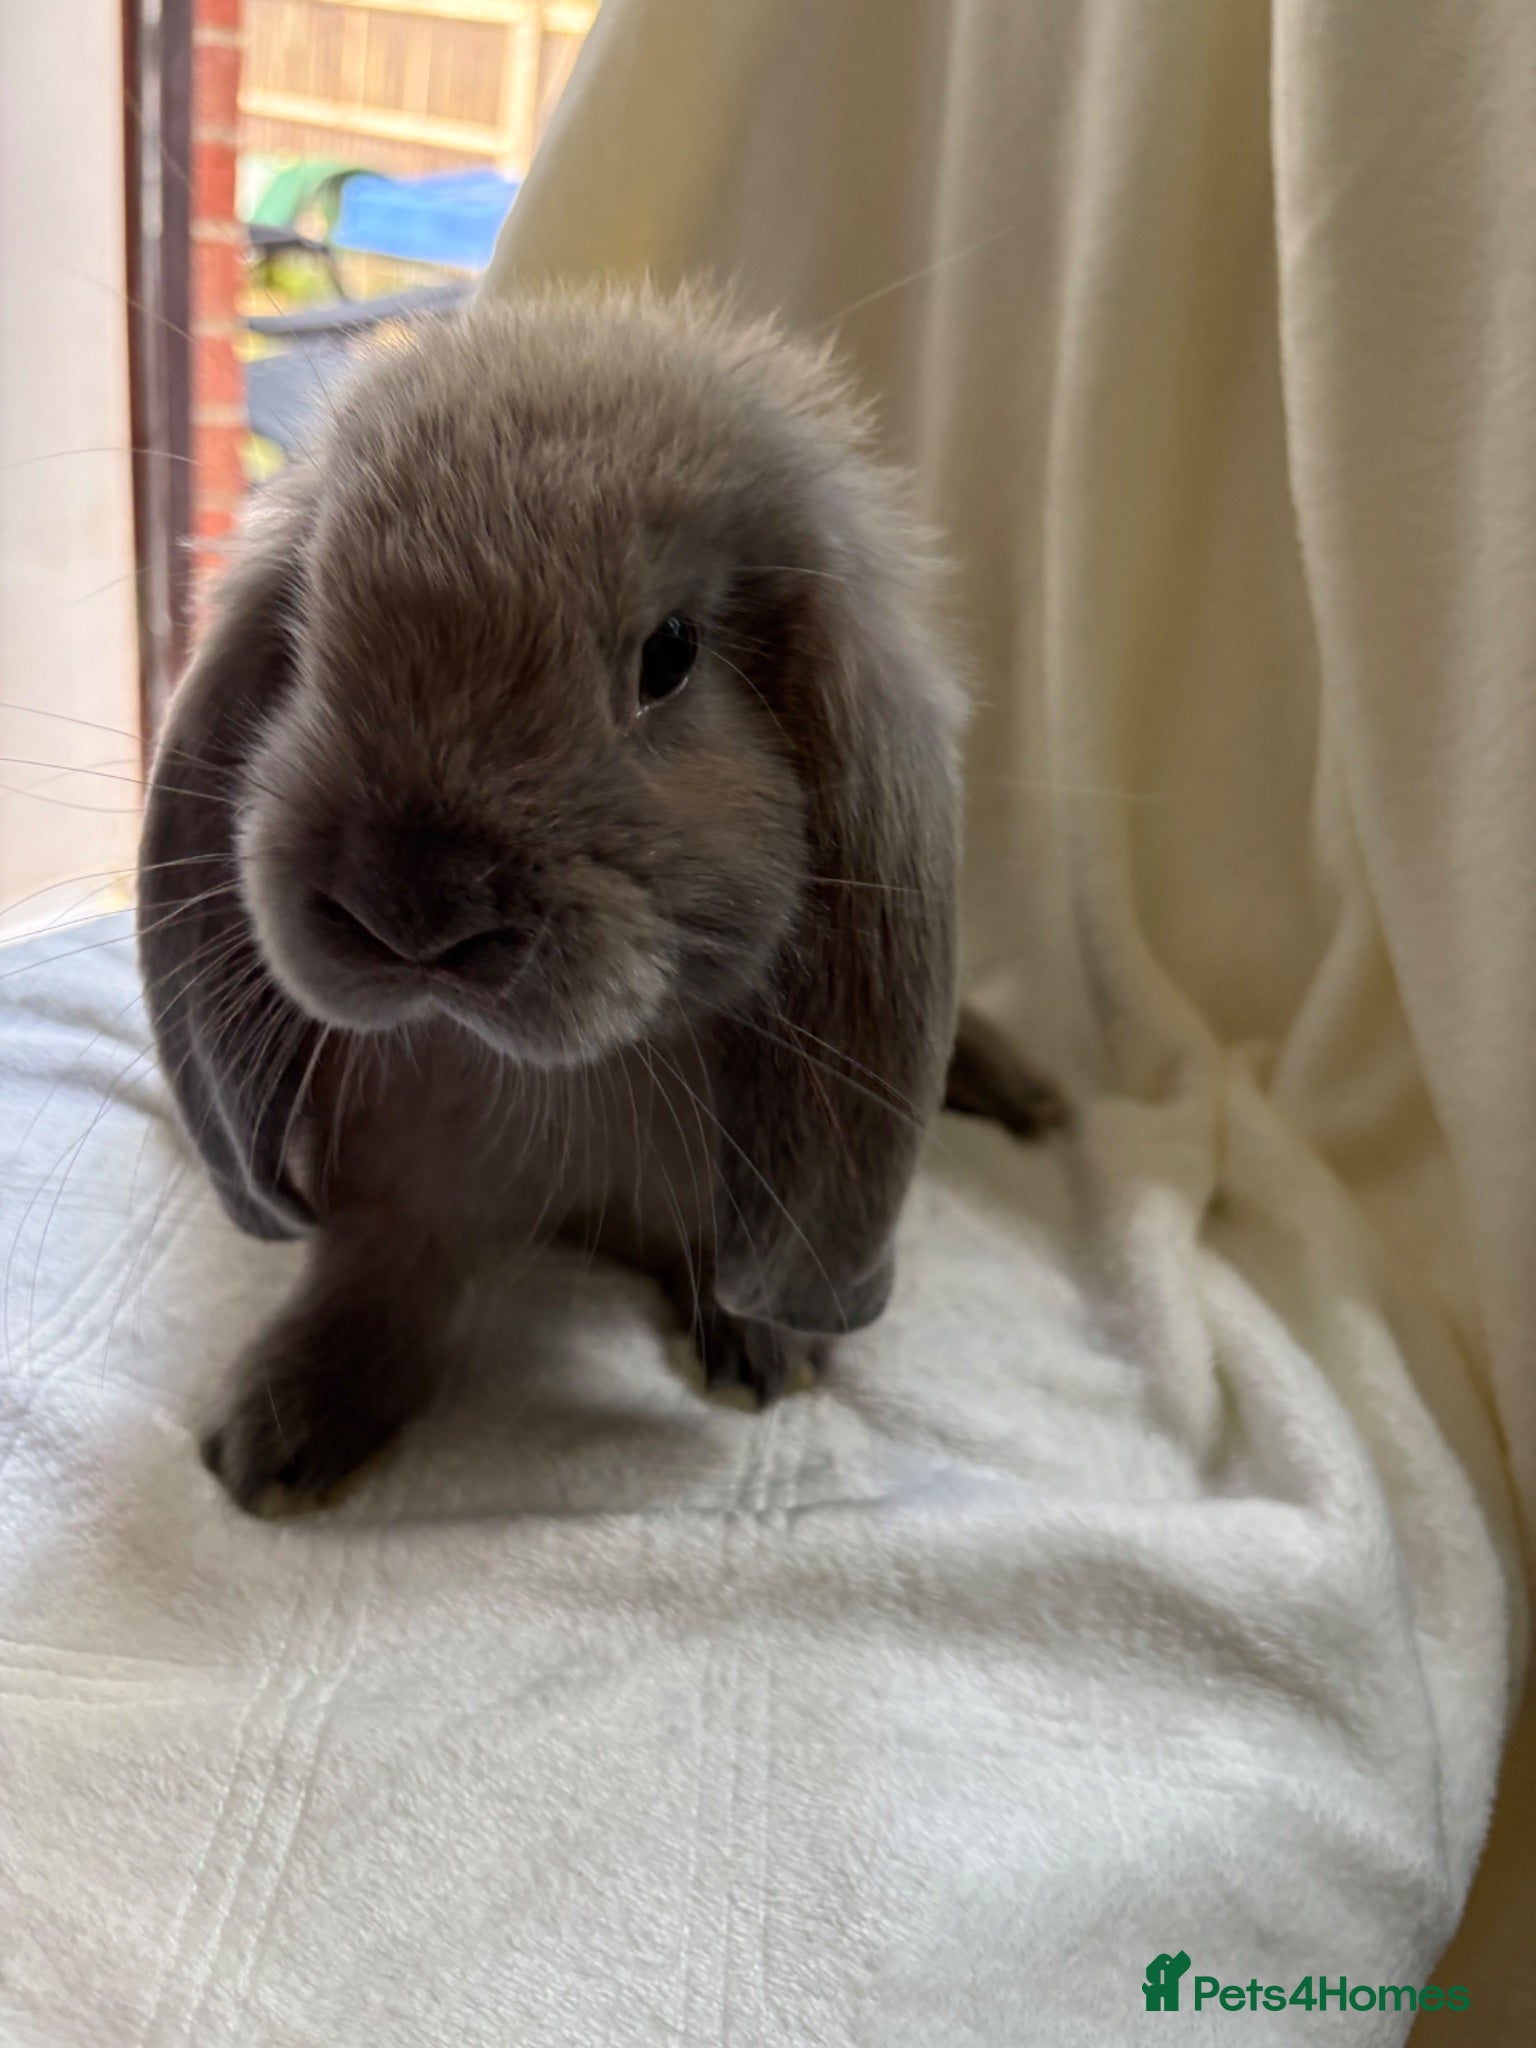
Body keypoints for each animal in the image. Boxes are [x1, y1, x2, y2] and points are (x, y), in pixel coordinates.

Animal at [137, 284, 1063, 1515]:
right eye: (305, 630)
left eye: (669, 654)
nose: (412, 913)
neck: (559, 1090)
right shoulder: (401, 1195)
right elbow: (373, 1281)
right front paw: (278, 1432)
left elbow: (718, 1265)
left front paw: (761, 1352)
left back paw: (1038, 1098)